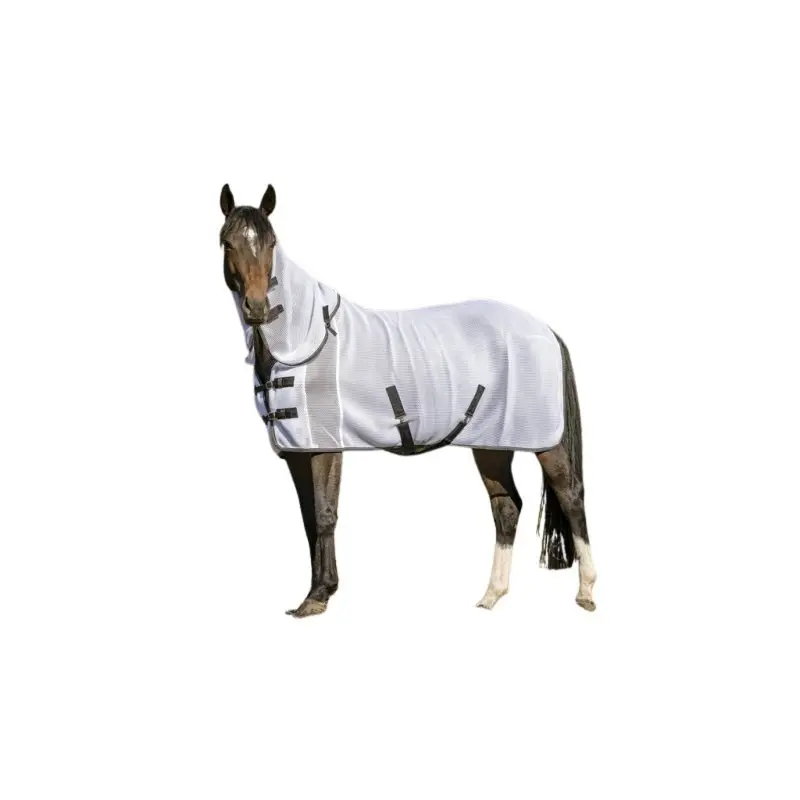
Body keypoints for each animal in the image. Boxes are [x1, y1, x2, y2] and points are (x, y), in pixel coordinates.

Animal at [219, 183, 597, 617]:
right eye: (227, 242)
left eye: (271, 243)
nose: (258, 308)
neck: (304, 336)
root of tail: (545, 329)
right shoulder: (298, 452)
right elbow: (308, 519)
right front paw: (315, 592)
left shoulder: (325, 448)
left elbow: (325, 515)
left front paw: (318, 597)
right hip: (491, 444)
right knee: (506, 506)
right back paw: (491, 595)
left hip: (545, 441)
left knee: (571, 494)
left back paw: (586, 592)